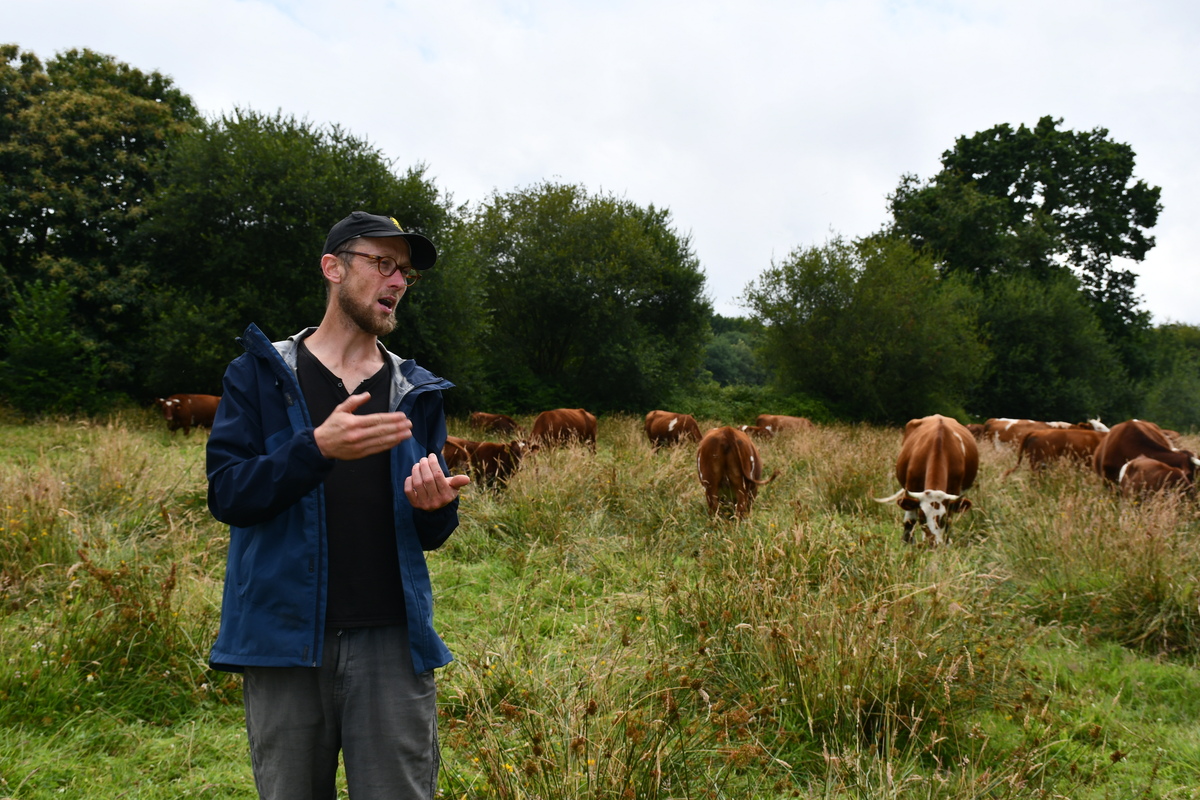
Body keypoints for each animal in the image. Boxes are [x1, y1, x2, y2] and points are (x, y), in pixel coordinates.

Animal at [878, 417, 979, 546]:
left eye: (942, 518)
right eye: (922, 517)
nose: (932, 544)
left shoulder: (954, 491)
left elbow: (950, 522)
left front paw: (947, 544)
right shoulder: (912, 486)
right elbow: (910, 520)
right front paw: (906, 542)